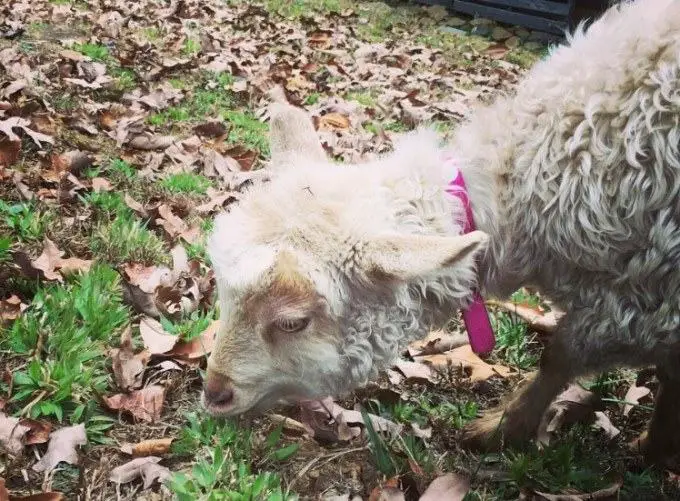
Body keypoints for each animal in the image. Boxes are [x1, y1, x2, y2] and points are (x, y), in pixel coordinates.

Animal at [205, 0, 680, 462]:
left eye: (293, 322)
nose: (214, 394)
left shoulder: (643, 307)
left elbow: (560, 355)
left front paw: (502, 430)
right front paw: (658, 445)